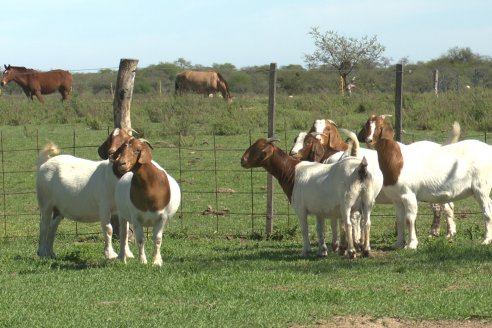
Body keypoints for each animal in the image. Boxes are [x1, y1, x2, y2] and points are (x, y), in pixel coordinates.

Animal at [36, 128, 135, 258]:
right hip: (46, 202)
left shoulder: (122, 209)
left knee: (53, 226)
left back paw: (50, 253)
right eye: (110, 138)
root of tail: (44, 163)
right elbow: (108, 229)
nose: (111, 152)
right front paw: (110, 254)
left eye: (126, 142)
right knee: (44, 226)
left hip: (59, 208)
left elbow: (125, 230)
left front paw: (128, 254)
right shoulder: (104, 206)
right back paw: (42, 252)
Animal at [113, 137, 181, 266]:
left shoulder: (162, 218)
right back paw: (122, 258)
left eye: (137, 150)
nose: (121, 164)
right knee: (123, 235)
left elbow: (158, 239)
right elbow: (140, 239)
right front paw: (142, 261)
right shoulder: (136, 218)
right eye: (122, 149)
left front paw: (156, 261)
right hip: (122, 214)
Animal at [240, 129, 374, 258]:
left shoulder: (300, 208)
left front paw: (306, 251)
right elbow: (319, 229)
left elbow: (304, 229)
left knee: (348, 224)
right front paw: (322, 251)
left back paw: (351, 252)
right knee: (367, 223)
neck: (292, 172)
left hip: (347, 202)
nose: (242, 160)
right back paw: (366, 250)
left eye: (259, 148)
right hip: (367, 200)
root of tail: (361, 168)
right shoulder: (319, 210)